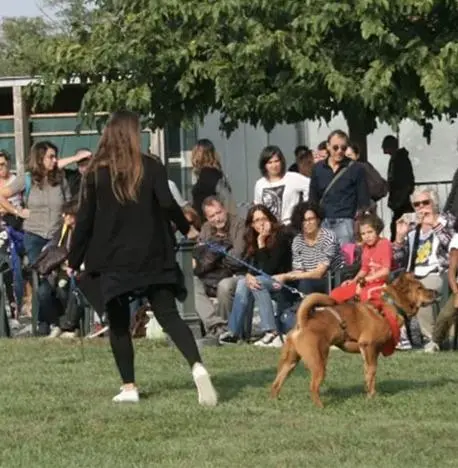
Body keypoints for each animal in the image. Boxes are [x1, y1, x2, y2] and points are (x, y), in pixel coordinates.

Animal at [270, 272, 438, 408]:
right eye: (420, 288)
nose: (435, 292)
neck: (388, 307)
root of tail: (303, 321)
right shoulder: (369, 346)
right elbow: (372, 372)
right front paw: (371, 397)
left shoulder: (369, 353)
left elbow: (368, 373)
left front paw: (369, 393)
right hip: (318, 362)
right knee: (312, 387)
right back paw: (321, 406)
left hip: (289, 362)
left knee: (275, 384)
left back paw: (275, 402)